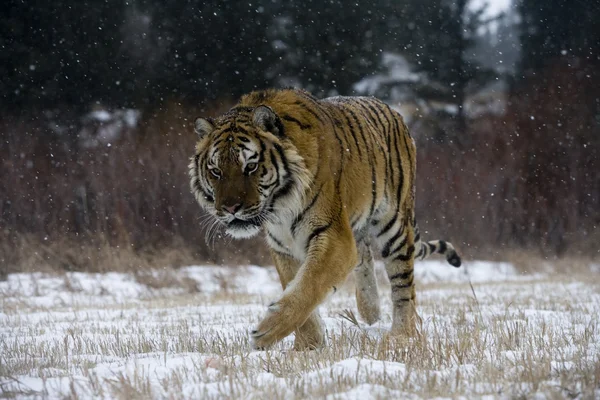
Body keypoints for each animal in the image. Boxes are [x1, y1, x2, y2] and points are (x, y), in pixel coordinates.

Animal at [190, 88, 462, 350]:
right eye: (216, 171)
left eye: (250, 166)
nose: (230, 207)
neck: (280, 207)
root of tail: (393, 110)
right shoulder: (284, 245)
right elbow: (295, 285)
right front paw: (308, 345)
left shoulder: (333, 235)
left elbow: (310, 284)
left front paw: (267, 332)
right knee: (364, 254)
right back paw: (370, 312)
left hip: (394, 223)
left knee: (403, 284)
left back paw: (401, 335)